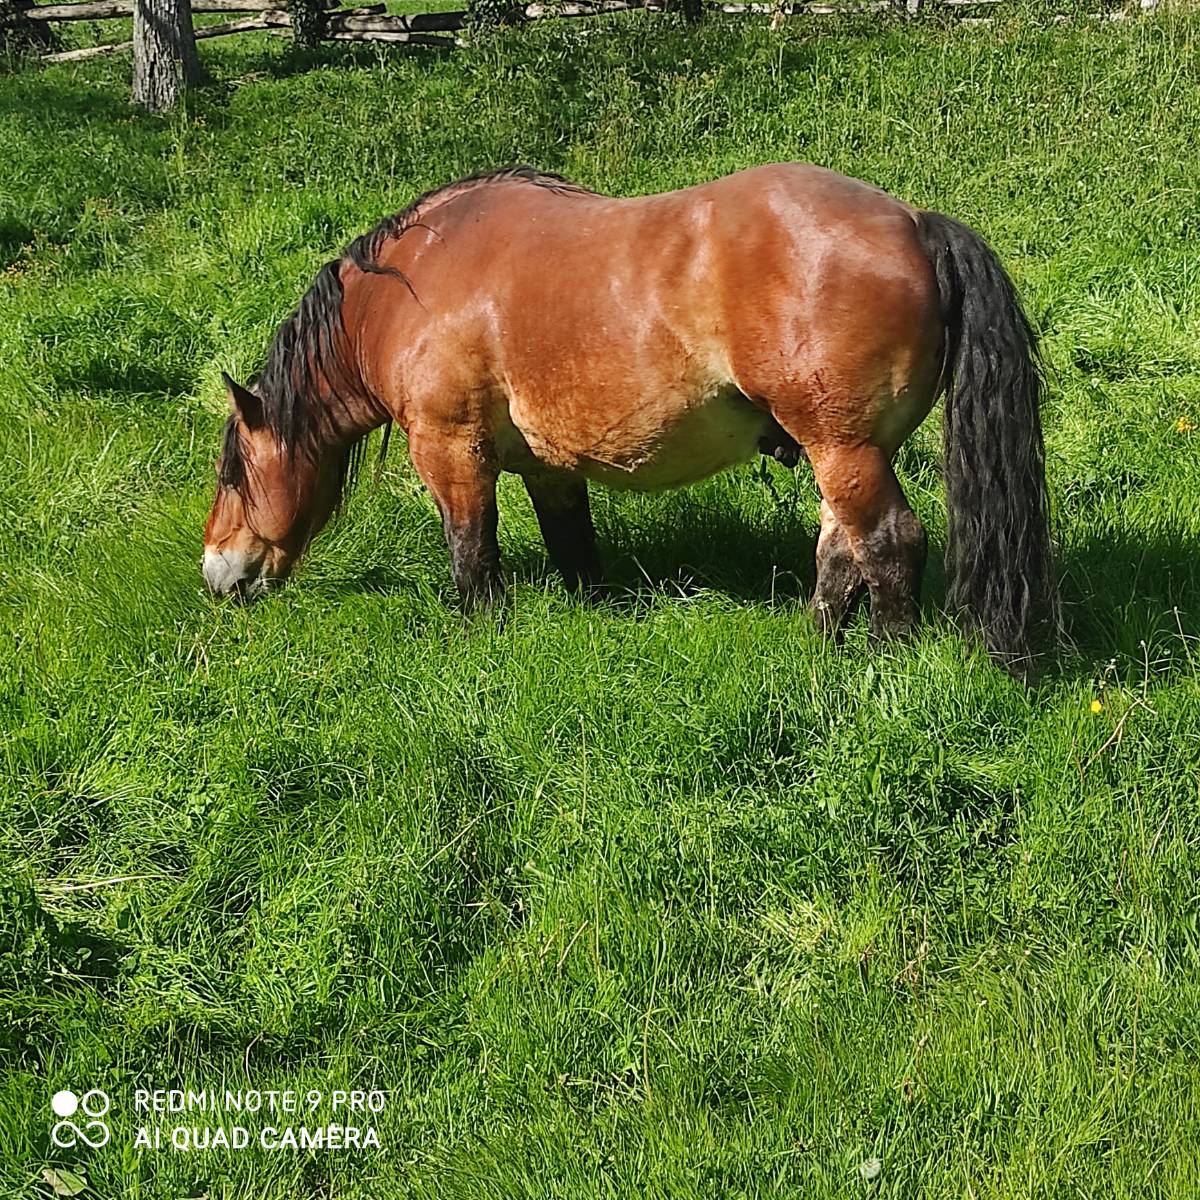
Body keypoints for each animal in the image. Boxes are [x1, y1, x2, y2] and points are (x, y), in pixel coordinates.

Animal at [202, 164, 1054, 676]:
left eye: (235, 476)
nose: (217, 576)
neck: (409, 289)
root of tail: (915, 222)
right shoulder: (549, 469)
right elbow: (575, 550)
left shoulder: (452, 452)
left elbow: (473, 562)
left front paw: (480, 646)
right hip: (842, 453)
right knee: (840, 551)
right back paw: (815, 651)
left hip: (844, 448)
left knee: (887, 545)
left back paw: (884, 661)